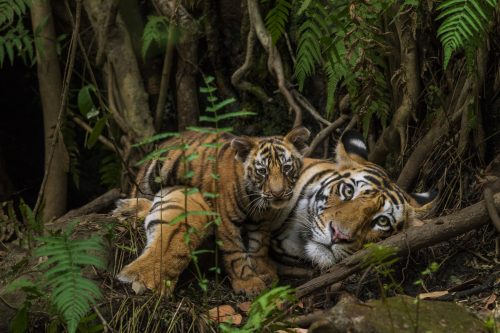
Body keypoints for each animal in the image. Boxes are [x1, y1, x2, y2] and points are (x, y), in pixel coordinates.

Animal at [128, 128, 308, 294]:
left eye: (286, 168)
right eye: (262, 171)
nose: (278, 193)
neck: (256, 200)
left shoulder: (261, 221)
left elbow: (259, 246)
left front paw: (264, 272)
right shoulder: (227, 220)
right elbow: (234, 252)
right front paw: (248, 283)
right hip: (147, 182)